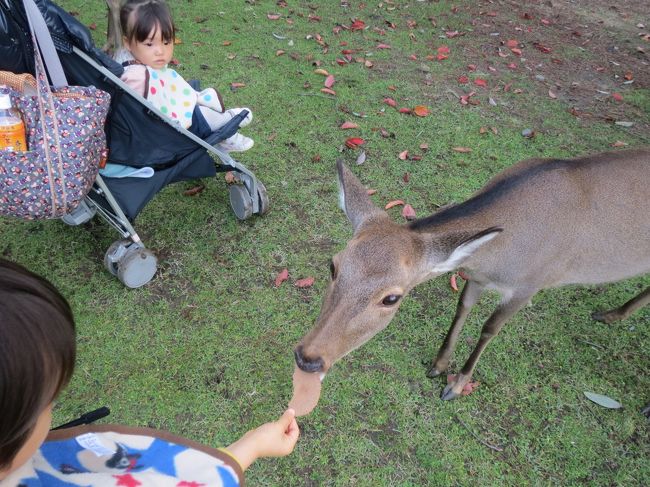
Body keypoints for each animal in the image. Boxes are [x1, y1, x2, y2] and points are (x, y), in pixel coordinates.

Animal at [294, 149, 650, 406]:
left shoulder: (530, 285)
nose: (308, 358)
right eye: (333, 266)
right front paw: (438, 366)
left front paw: (456, 386)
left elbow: (489, 328)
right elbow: (462, 308)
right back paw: (613, 314)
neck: (498, 256)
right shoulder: (476, 275)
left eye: (392, 298)